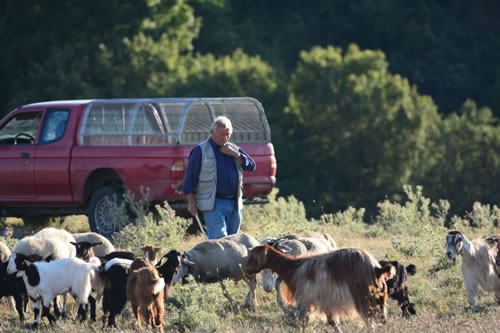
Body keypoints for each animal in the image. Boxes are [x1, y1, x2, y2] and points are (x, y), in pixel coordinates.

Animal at [245, 244, 394, 330]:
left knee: (370, 322)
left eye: (253, 256)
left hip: (364, 299)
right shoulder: (326, 302)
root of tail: (376, 269)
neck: (293, 268)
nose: (246, 270)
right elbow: (332, 322)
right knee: (382, 318)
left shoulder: (308, 300)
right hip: (379, 299)